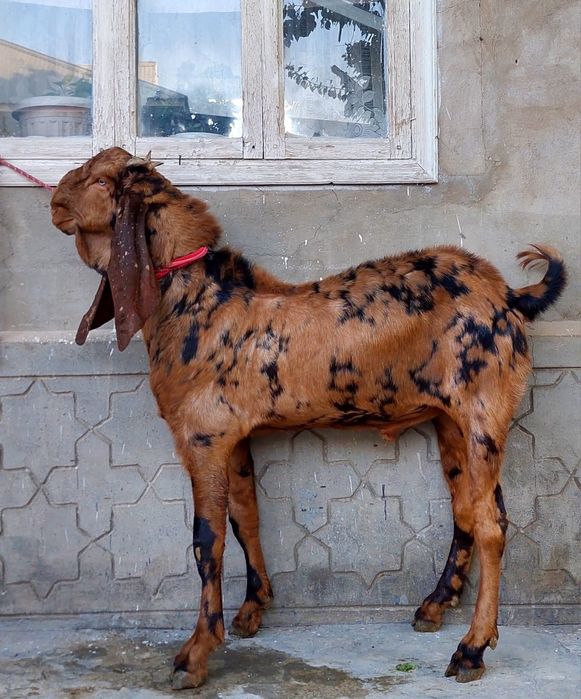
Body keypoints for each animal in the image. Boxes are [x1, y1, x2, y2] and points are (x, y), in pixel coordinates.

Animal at [51, 147, 567, 689]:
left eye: (103, 181)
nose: (55, 201)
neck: (197, 300)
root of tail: (511, 297)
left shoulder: (202, 435)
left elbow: (206, 540)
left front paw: (195, 653)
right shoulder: (234, 436)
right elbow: (245, 517)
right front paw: (252, 608)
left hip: (485, 408)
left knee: (490, 524)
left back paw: (471, 649)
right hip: (451, 420)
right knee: (468, 508)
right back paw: (434, 605)